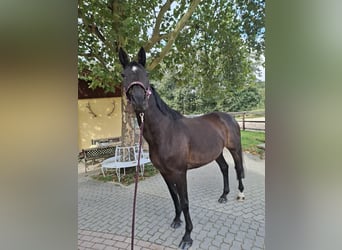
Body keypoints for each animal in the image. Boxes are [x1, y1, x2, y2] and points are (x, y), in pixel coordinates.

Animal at [119, 47, 244, 250]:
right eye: (123, 75)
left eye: (146, 74)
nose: (138, 101)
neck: (166, 132)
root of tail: (229, 117)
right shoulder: (165, 172)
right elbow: (174, 196)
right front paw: (177, 221)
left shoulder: (180, 172)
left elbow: (184, 201)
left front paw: (187, 237)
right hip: (216, 152)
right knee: (224, 168)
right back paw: (224, 196)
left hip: (234, 148)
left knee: (238, 168)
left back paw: (240, 194)